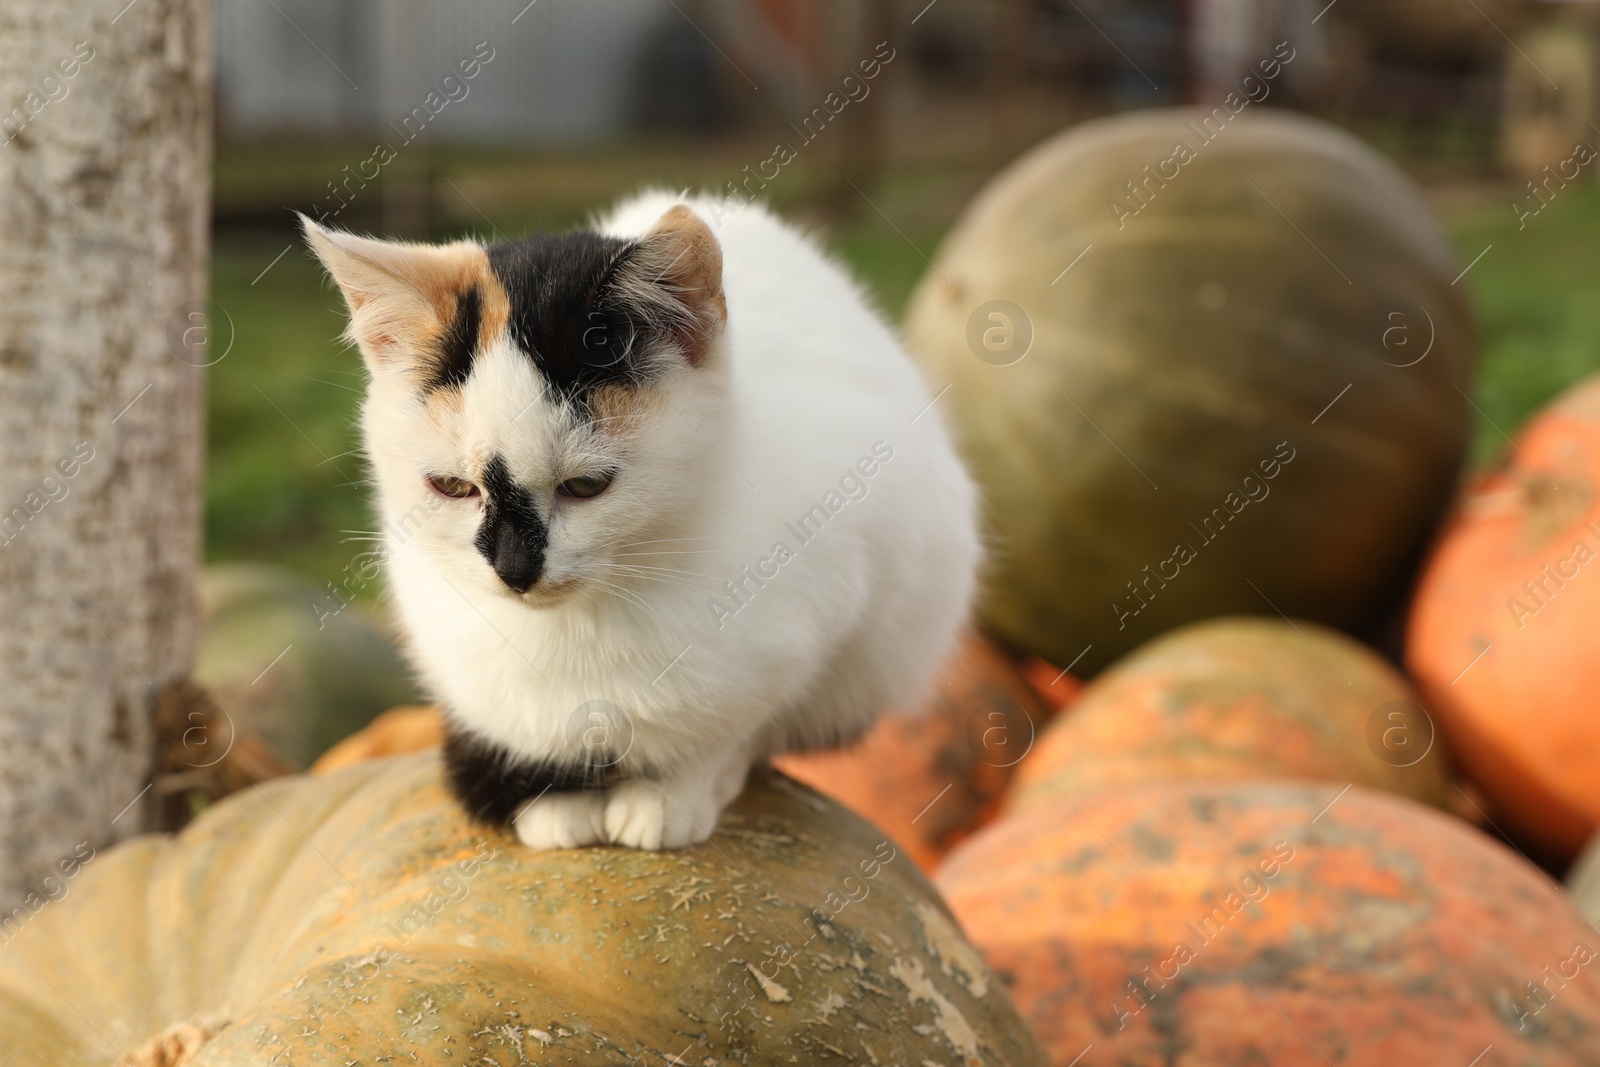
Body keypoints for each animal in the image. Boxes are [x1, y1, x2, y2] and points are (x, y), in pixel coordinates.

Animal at [300, 194, 972, 851]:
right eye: (452, 488)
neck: (585, 628)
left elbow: (736, 724)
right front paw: (558, 804)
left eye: (585, 486)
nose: (515, 570)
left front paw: (673, 792)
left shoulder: (842, 599)